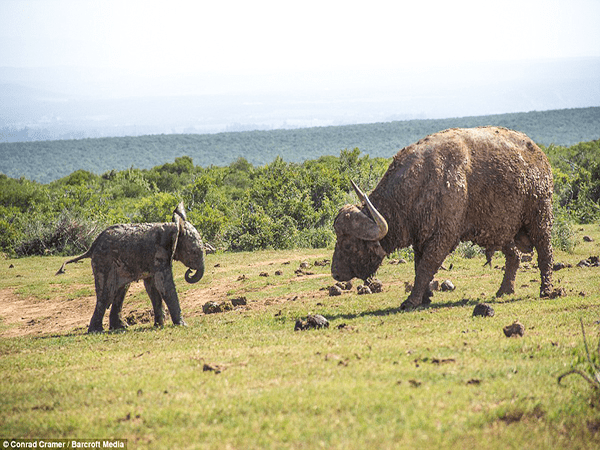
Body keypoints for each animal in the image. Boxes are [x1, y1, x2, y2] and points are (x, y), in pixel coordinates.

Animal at [58, 202, 206, 332]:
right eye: (194, 252)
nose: (190, 271)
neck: (174, 228)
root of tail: (93, 245)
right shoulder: (159, 254)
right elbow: (164, 285)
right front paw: (182, 325)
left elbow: (152, 288)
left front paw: (159, 325)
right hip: (104, 261)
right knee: (107, 293)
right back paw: (97, 331)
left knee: (120, 291)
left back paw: (119, 327)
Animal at [330, 126, 556, 310]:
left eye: (349, 245)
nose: (336, 274)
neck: (419, 184)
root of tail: (540, 157)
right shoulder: (420, 238)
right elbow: (418, 266)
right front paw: (425, 297)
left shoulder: (442, 237)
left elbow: (426, 266)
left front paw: (411, 300)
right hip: (501, 230)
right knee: (514, 257)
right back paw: (504, 290)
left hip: (539, 217)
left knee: (545, 252)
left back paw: (546, 289)